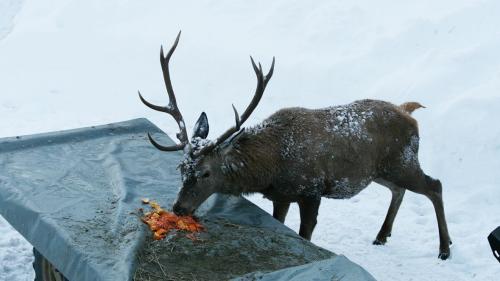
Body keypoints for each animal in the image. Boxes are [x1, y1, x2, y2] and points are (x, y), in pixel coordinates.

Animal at [138, 32, 454, 258]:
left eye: (206, 172)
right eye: (181, 168)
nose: (179, 207)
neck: (272, 168)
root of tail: (409, 113)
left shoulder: (311, 190)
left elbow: (305, 234)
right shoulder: (281, 195)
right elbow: (281, 222)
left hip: (403, 160)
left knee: (434, 185)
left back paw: (444, 248)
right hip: (380, 170)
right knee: (399, 190)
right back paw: (381, 235)